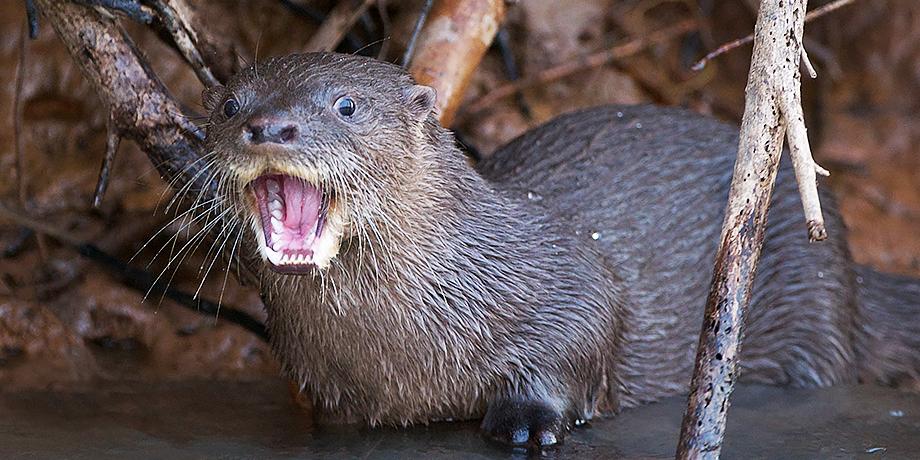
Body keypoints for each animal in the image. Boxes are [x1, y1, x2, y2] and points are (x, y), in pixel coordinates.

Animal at [200, 53, 920, 447]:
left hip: (812, 303)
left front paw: (527, 419)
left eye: (346, 106)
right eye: (230, 105)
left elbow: (587, 322)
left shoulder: (566, 273)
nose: (268, 126)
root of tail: (852, 275)